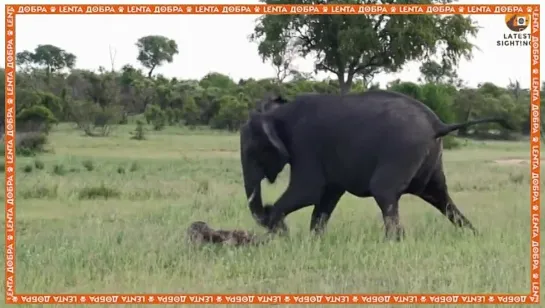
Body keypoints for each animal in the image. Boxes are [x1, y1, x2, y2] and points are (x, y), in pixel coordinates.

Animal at [239, 91, 510, 241]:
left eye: (253, 152)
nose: (264, 209)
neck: (276, 114)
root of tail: (438, 124)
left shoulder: (305, 145)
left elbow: (308, 191)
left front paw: (279, 233)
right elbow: (326, 197)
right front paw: (312, 241)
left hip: (402, 150)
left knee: (385, 192)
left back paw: (394, 242)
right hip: (428, 157)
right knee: (439, 196)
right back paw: (473, 235)